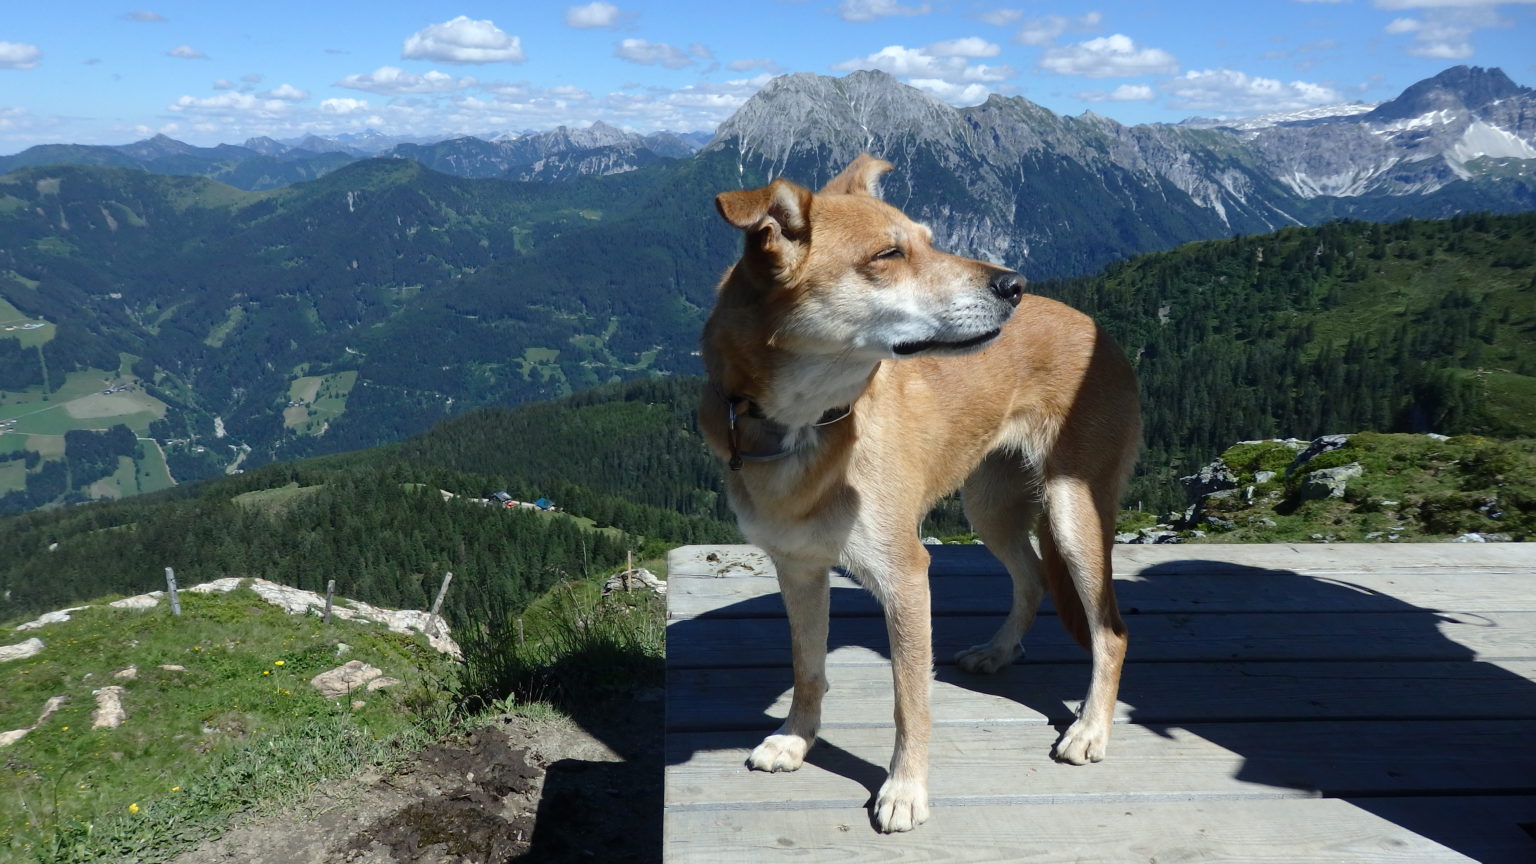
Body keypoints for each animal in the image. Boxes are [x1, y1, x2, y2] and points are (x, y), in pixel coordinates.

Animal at [700, 152, 1142, 830]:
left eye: (931, 241)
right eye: (889, 254)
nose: (1013, 284)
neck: (806, 426)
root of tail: (1099, 330)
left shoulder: (905, 575)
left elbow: (910, 701)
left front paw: (904, 789)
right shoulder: (799, 568)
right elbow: (807, 668)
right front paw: (797, 739)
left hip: (1073, 514)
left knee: (1109, 631)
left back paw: (1090, 728)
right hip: (988, 507)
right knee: (1032, 578)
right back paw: (999, 651)